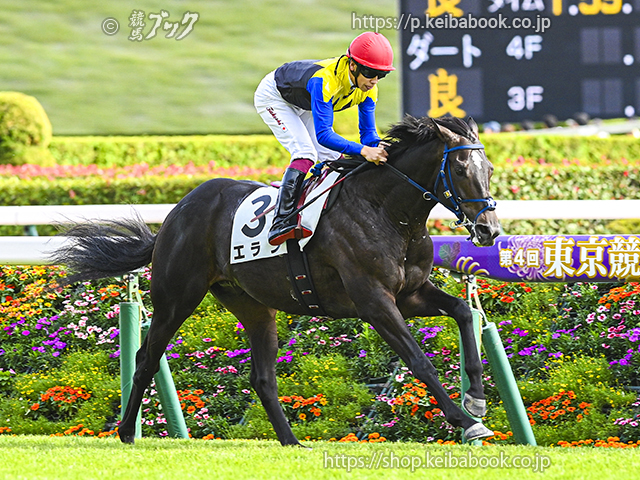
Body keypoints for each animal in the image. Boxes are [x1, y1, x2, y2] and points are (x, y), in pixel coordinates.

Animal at [51, 115, 501, 445]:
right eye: (461, 168)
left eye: (490, 169)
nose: (489, 230)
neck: (387, 212)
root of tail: (175, 213)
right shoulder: (374, 300)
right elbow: (418, 360)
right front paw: (466, 420)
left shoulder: (410, 293)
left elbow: (463, 312)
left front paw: (477, 399)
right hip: (177, 297)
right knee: (147, 357)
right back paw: (126, 432)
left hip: (253, 306)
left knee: (262, 378)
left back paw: (291, 442)